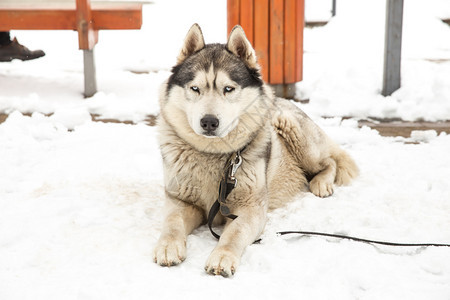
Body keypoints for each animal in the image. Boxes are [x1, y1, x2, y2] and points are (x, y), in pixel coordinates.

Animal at [154, 22, 358, 276]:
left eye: (228, 89)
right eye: (195, 88)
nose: (209, 121)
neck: (212, 155)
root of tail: (284, 101)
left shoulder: (250, 209)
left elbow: (234, 233)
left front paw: (222, 256)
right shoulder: (181, 201)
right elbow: (172, 223)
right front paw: (168, 246)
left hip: (290, 126)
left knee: (329, 162)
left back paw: (321, 183)